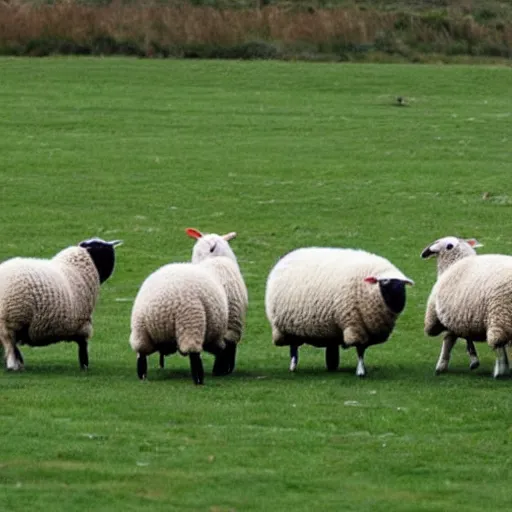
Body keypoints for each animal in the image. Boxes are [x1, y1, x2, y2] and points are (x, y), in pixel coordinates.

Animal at [0, 238, 122, 370]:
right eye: (101, 249)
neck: (75, 269)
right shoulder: (82, 322)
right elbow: (83, 346)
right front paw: (84, 366)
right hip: (15, 318)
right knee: (11, 345)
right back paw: (14, 365)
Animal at [128, 228, 248, 384]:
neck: (211, 259)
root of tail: (161, 306)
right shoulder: (232, 321)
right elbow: (228, 348)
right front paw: (223, 370)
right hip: (190, 322)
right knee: (194, 354)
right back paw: (198, 379)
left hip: (140, 328)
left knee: (141, 354)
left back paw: (142, 376)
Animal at [266, 246, 414, 378]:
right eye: (384, 281)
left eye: (402, 285)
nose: (399, 303)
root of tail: (287, 255)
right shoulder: (354, 324)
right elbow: (359, 349)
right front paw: (360, 371)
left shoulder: (366, 328)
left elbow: (362, 349)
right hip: (286, 326)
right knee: (294, 347)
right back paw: (293, 366)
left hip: (325, 328)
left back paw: (331, 365)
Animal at [422, 235, 512, 376]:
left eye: (448, 245)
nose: (427, 250)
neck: (455, 263)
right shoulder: (459, 315)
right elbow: (452, 338)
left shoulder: (450, 314)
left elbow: (450, 339)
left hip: (500, 316)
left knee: (498, 343)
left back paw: (500, 370)